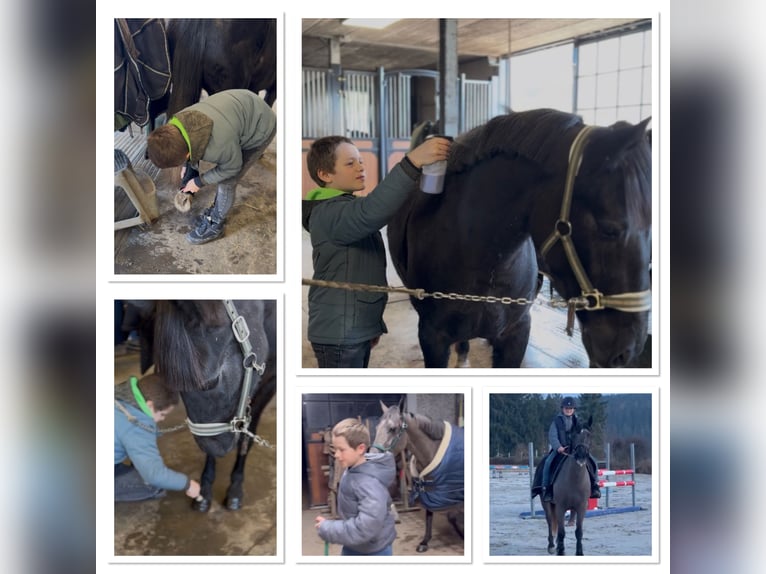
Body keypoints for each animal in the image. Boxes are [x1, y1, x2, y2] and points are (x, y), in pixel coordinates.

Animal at [129, 299, 277, 512]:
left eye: (212, 382)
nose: (219, 449)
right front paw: (205, 491)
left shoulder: (271, 381)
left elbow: (246, 438)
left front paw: (235, 489)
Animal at [371, 399, 464, 553]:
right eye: (377, 427)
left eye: (392, 429)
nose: (371, 457)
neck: (433, 449)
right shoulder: (429, 487)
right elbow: (430, 514)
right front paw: (425, 542)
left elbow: (452, 515)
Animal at [539, 416, 594, 555]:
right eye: (573, 435)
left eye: (589, 435)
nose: (581, 455)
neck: (574, 480)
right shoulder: (560, 507)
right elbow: (561, 532)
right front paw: (561, 551)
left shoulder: (581, 508)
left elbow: (578, 532)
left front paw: (579, 552)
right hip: (547, 505)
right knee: (550, 523)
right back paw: (552, 546)